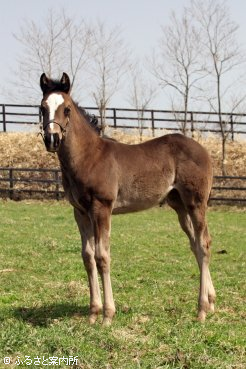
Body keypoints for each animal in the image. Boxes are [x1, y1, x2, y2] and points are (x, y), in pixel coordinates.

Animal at [39, 72, 214, 324]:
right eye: (42, 108)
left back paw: (201, 309)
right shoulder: (80, 212)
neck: (88, 157)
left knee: (202, 244)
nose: (52, 139)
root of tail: (204, 150)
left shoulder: (102, 208)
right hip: (179, 205)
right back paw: (211, 302)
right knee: (196, 245)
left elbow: (102, 256)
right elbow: (88, 257)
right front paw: (93, 313)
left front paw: (107, 315)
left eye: (67, 109)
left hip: (196, 203)